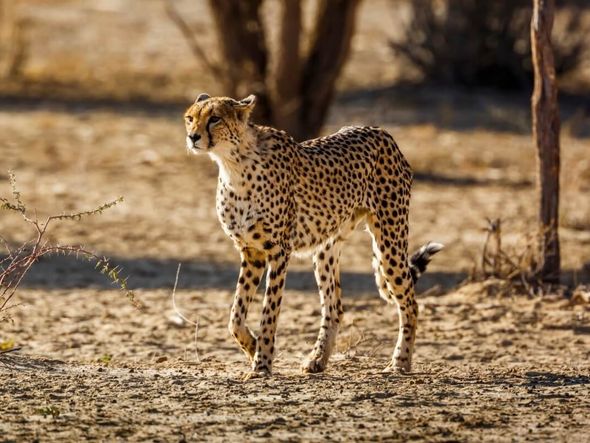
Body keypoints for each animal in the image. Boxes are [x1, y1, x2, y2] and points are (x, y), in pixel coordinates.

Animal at [185, 93, 444, 378]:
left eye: (215, 119)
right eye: (190, 117)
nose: (192, 137)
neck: (233, 164)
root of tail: (380, 130)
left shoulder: (278, 251)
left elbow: (269, 312)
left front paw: (262, 363)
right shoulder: (251, 252)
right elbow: (235, 316)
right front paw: (252, 349)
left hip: (390, 241)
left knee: (409, 302)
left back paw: (400, 361)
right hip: (325, 251)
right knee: (335, 307)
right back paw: (317, 359)